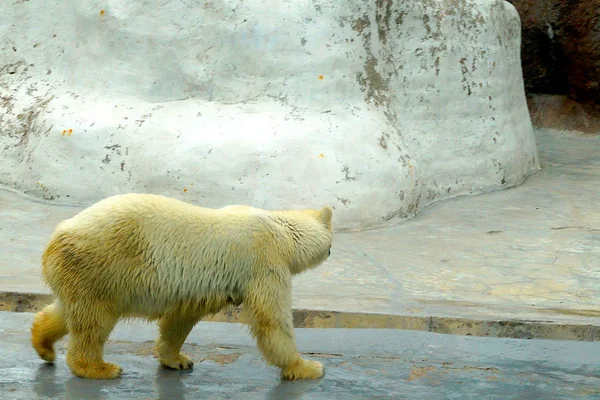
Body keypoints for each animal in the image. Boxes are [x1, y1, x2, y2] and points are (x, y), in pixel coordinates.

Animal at [31, 195, 332, 380]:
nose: (331, 251)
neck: (280, 230)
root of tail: (56, 238)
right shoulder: (264, 263)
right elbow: (272, 320)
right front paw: (309, 366)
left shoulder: (199, 288)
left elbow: (181, 318)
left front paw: (178, 359)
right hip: (102, 265)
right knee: (94, 322)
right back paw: (99, 368)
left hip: (82, 275)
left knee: (69, 312)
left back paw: (44, 346)